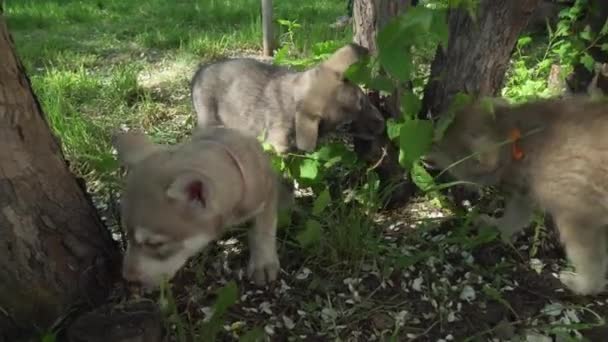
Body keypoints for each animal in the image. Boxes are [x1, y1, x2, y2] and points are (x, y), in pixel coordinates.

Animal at [112, 127, 282, 290]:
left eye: (155, 244)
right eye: (126, 234)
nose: (127, 279)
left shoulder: (269, 191)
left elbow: (263, 230)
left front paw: (263, 264)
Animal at [191, 43, 384, 153]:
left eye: (362, 100)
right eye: (345, 126)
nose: (382, 124)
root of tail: (198, 73)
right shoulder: (278, 145)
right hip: (210, 121)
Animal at [426, 97, 608, 296]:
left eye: (439, 144)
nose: (425, 148)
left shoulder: (577, 217)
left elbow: (589, 259)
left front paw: (583, 285)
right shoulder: (524, 192)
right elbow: (514, 216)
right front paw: (494, 224)